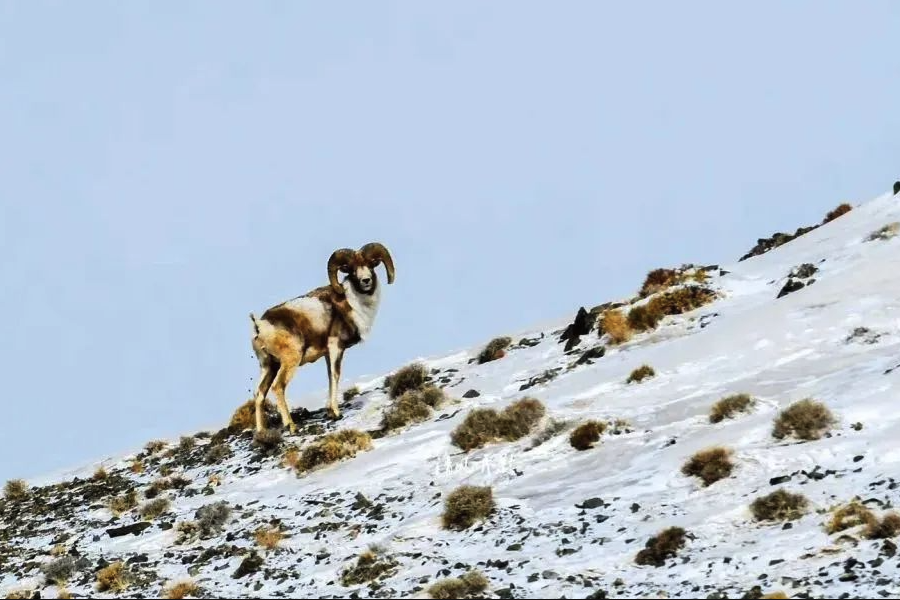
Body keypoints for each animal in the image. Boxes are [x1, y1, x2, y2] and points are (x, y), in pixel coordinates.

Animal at [251, 243, 396, 432]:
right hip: (289, 362)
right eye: (351, 269)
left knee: (259, 394)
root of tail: (260, 326)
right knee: (278, 387)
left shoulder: (327, 353)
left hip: (269, 366)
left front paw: (329, 411)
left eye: (371, 265)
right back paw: (291, 425)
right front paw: (336, 412)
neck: (353, 304)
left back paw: (261, 432)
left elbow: (329, 376)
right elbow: (335, 375)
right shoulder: (335, 347)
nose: (366, 280)